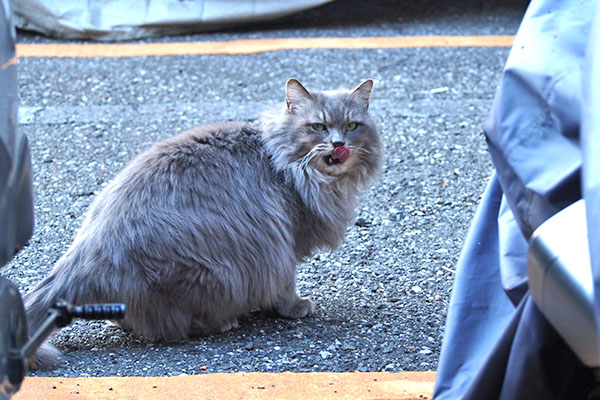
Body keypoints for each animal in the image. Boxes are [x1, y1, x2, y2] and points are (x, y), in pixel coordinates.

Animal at [25, 79, 382, 368]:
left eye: (352, 126)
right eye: (318, 127)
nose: (338, 144)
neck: (281, 160)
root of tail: (86, 254)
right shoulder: (285, 242)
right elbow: (286, 285)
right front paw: (294, 307)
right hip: (215, 269)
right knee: (173, 325)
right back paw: (222, 322)